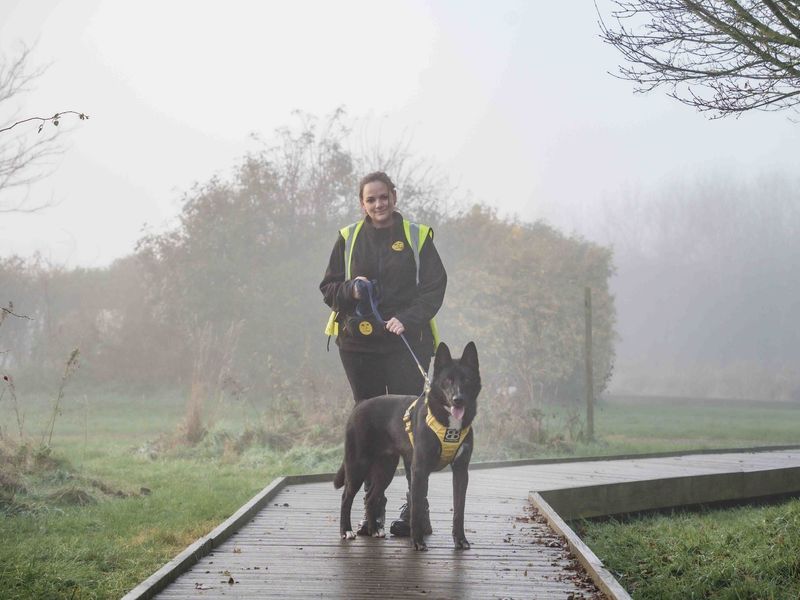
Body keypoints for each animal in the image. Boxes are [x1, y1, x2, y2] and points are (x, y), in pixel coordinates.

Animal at [332, 340, 482, 552]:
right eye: (448, 380)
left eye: (467, 380)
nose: (458, 400)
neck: (447, 422)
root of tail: (360, 405)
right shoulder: (419, 469)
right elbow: (416, 506)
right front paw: (417, 541)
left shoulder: (461, 471)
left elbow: (459, 510)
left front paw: (460, 540)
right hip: (358, 464)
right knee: (346, 497)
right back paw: (346, 531)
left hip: (386, 468)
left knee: (371, 498)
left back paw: (374, 530)